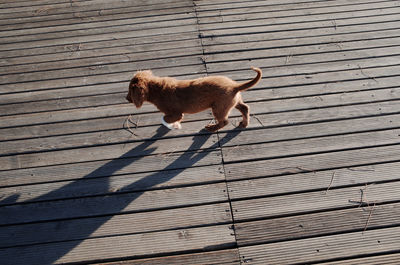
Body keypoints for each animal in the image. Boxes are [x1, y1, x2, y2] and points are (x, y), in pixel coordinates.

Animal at [126, 67, 262, 131]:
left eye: (130, 91)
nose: (126, 99)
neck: (157, 89)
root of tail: (234, 86)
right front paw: (175, 124)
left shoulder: (176, 113)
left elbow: (165, 118)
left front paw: (172, 125)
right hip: (231, 102)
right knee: (245, 108)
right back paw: (244, 124)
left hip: (219, 107)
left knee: (224, 121)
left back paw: (211, 128)